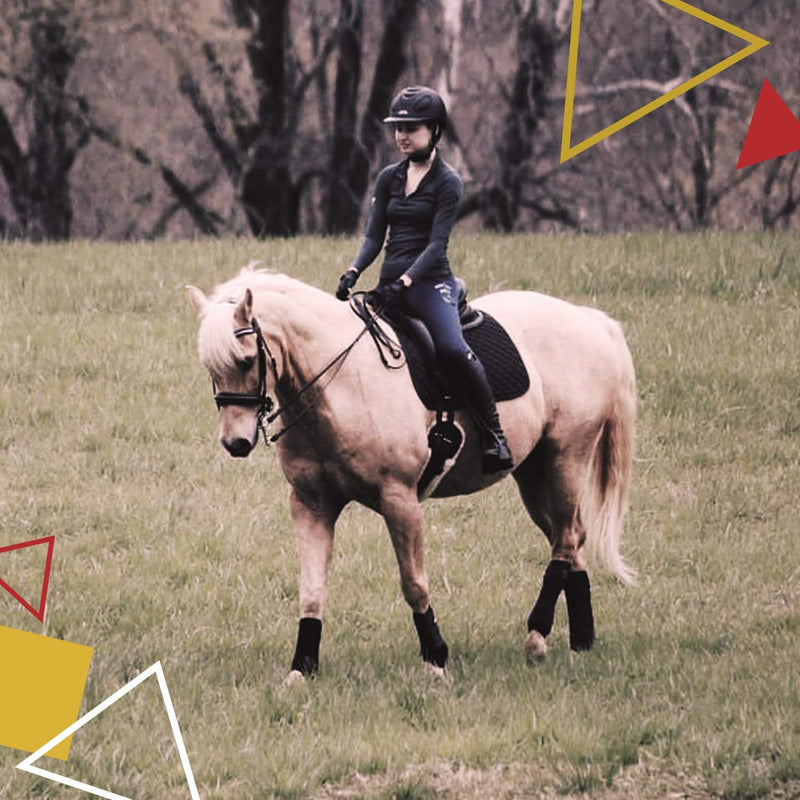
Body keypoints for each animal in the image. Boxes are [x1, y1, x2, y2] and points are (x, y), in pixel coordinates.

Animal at [186, 266, 636, 682]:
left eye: (247, 359)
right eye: (210, 367)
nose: (235, 443)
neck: (341, 382)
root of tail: (587, 318)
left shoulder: (398, 499)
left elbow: (413, 583)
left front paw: (436, 660)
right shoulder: (311, 505)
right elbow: (311, 590)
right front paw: (302, 669)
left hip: (566, 458)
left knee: (567, 539)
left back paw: (537, 636)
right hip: (532, 472)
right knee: (570, 538)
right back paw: (581, 640)